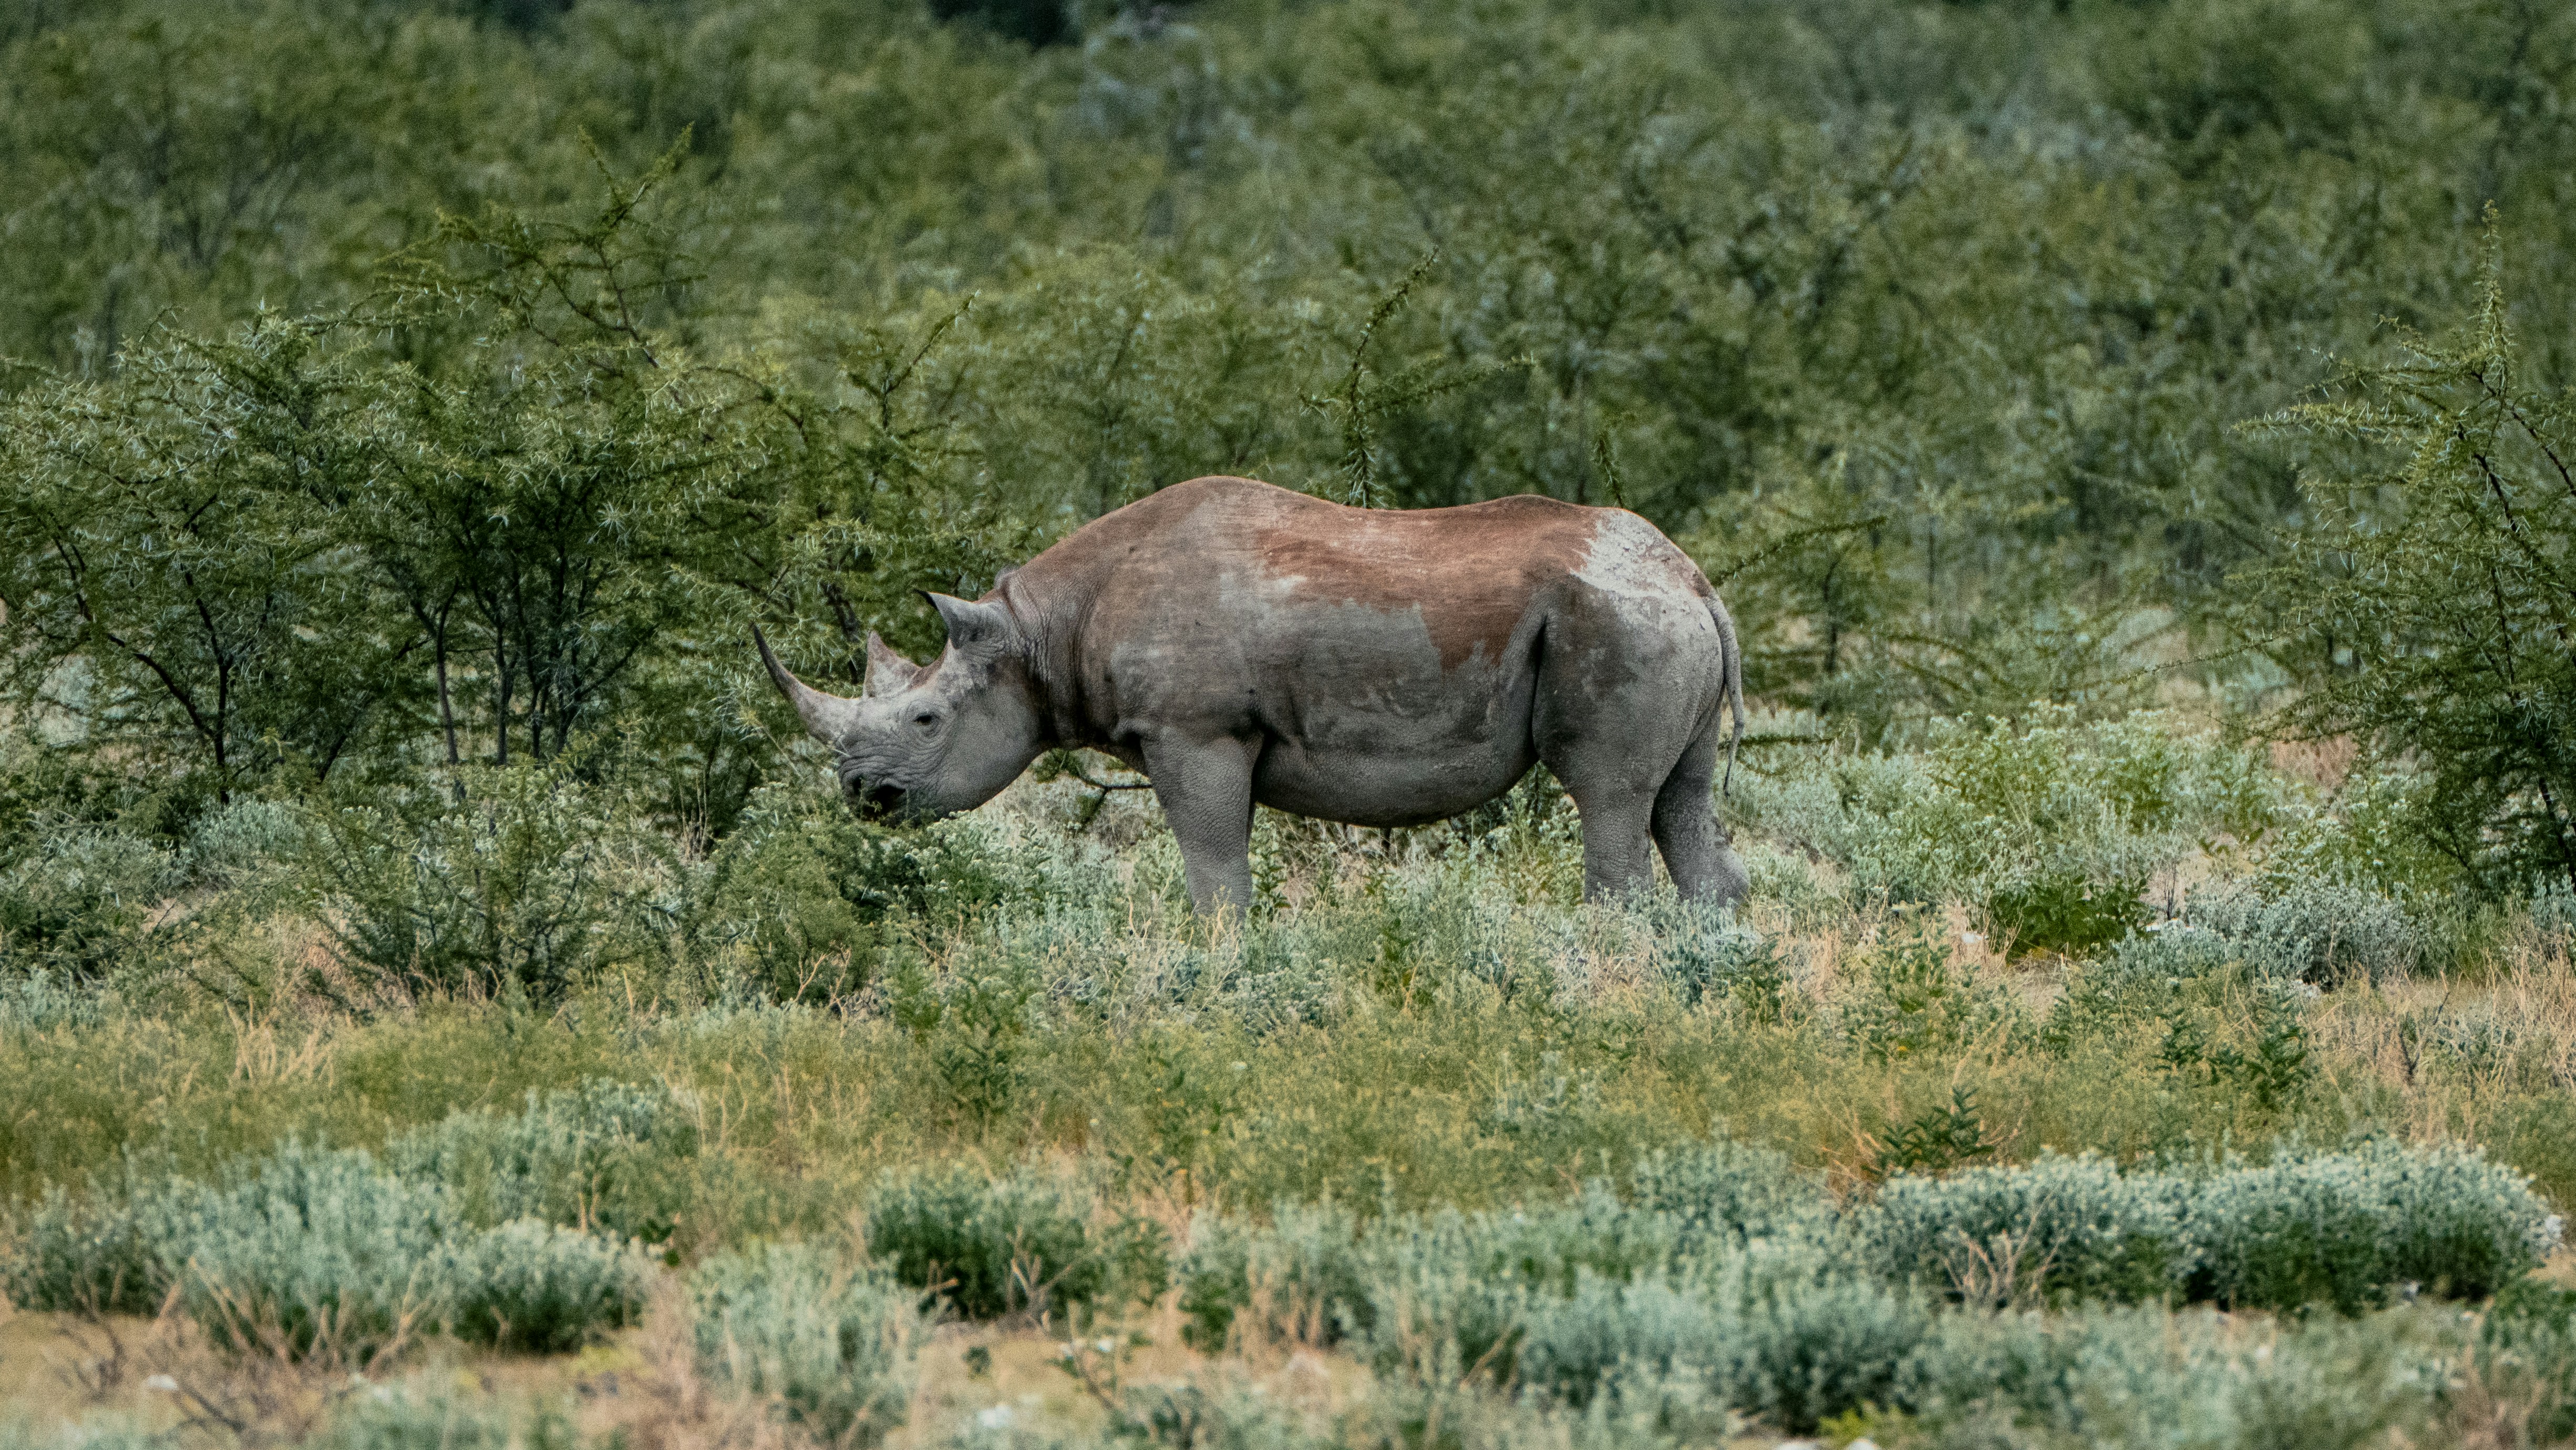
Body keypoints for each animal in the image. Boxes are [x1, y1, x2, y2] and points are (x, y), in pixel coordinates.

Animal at [755, 475, 1749, 912]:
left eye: (925, 718)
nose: (862, 795)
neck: (1038, 631)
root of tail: (1695, 580)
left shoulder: (1194, 730)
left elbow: (1213, 871)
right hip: (1654, 619)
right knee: (1681, 799)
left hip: (1619, 620)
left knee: (1608, 797)